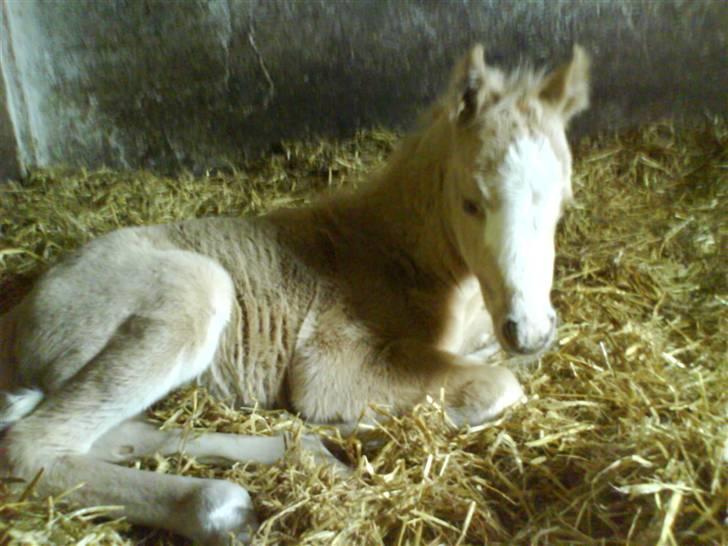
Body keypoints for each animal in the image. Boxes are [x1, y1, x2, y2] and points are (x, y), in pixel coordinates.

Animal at [0, 45, 588, 540]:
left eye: (565, 200)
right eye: (471, 201)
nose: (529, 331)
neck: (405, 257)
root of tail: (19, 316)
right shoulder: (330, 362)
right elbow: (499, 386)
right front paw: (360, 422)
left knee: (118, 434)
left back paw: (308, 449)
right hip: (194, 296)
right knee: (33, 444)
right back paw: (224, 503)